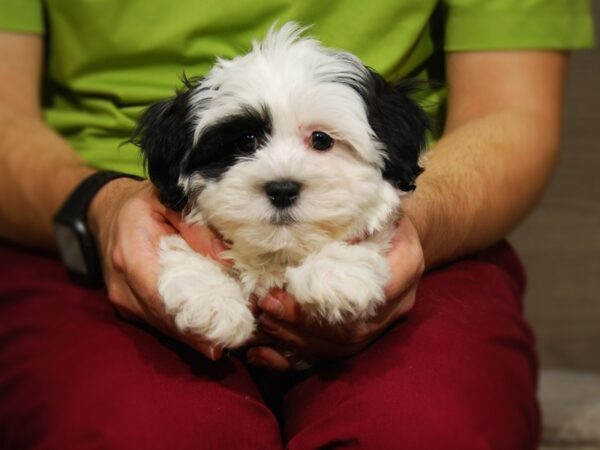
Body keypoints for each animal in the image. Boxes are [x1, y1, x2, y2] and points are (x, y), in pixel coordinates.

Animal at [134, 22, 428, 350]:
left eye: (321, 139)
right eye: (246, 141)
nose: (282, 189)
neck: (276, 255)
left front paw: (334, 271)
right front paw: (213, 299)